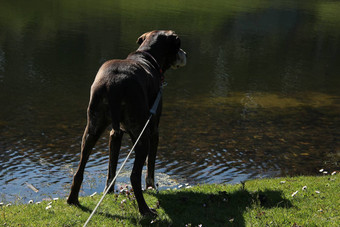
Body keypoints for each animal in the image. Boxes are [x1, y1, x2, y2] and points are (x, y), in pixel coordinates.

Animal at [66, 30, 187, 216]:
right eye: (178, 44)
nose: (185, 53)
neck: (147, 56)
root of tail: (113, 83)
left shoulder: (115, 134)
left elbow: (111, 169)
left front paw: (109, 192)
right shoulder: (154, 131)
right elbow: (150, 167)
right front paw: (151, 188)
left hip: (91, 130)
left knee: (79, 171)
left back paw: (72, 199)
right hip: (142, 137)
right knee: (134, 176)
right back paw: (145, 210)